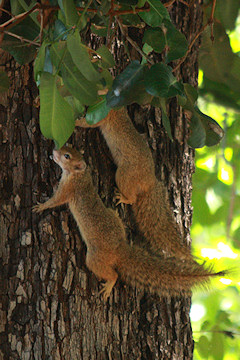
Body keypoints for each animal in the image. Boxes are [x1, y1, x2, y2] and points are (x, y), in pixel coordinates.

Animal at [32, 145, 226, 300]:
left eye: (67, 156)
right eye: (67, 147)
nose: (54, 151)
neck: (80, 174)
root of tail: (121, 249)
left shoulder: (68, 189)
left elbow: (56, 200)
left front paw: (41, 206)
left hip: (95, 258)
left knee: (112, 274)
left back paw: (109, 285)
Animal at [76, 107, 193, 258]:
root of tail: (149, 182)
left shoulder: (104, 115)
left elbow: (88, 124)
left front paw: (75, 122)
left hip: (124, 174)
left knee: (132, 198)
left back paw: (123, 198)